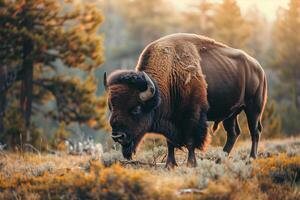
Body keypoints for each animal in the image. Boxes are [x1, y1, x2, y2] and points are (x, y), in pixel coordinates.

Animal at [103, 33, 268, 167]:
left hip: (253, 109)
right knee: (233, 133)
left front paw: (190, 163)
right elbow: (170, 143)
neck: (169, 75)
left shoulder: (192, 116)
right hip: (231, 113)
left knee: (255, 132)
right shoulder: (171, 121)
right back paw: (219, 160)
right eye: (112, 107)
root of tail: (259, 68)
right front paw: (170, 165)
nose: (117, 136)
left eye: (136, 108)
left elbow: (190, 141)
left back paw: (251, 159)